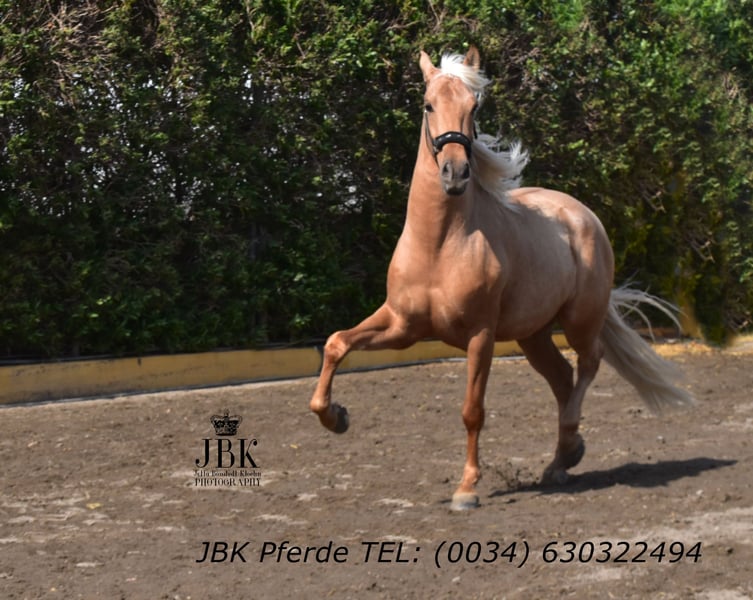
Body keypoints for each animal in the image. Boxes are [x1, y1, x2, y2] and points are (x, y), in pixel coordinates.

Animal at [309, 46, 694, 510]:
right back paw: (560, 462)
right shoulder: (402, 326)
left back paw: (569, 446)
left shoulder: (481, 334)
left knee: (588, 364)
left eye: (474, 107)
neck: (440, 244)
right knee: (562, 378)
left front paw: (466, 490)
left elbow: (472, 410)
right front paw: (336, 418)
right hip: (533, 333)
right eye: (428, 105)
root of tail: (582, 214)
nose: (455, 174)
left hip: (580, 320)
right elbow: (337, 343)